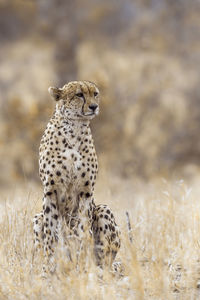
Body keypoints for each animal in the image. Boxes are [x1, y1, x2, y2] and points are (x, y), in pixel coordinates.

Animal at [33, 81, 120, 274]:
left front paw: (83, 264)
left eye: (95, 94)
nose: (94, 106)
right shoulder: (50, 191)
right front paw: (49, 266)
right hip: (37, 217)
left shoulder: (85, 192)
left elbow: (83, 230)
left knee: (105, 258)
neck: (74, 129)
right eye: (79, 95)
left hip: (103, 210)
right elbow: (50, 233)